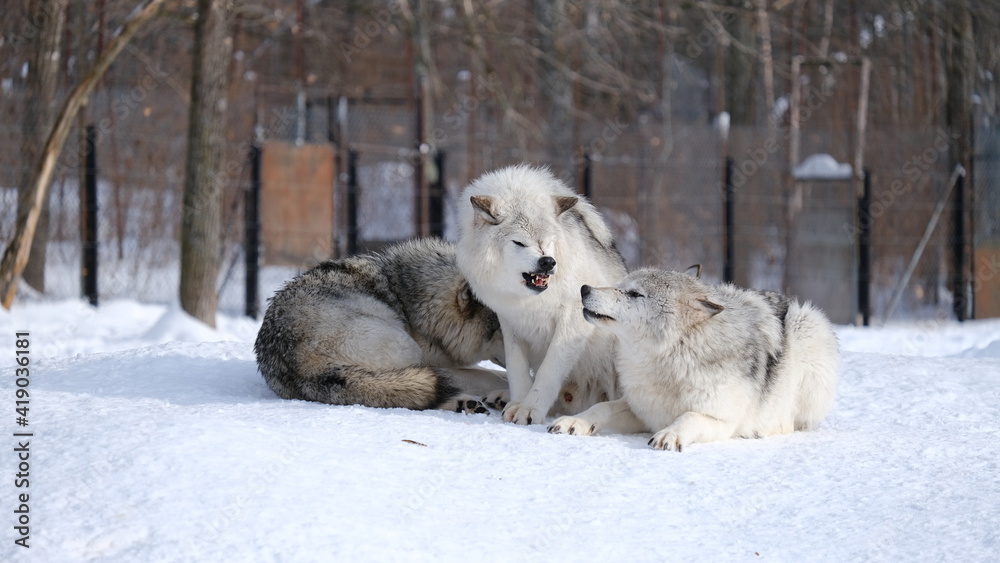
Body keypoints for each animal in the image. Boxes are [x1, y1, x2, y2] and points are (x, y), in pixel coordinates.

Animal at [455, 164, 628, 425]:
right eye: (519, 242)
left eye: (548, 241)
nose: (547, 262)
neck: (529, 301)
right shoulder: (510, 322)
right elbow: (517, 370)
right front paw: (517, 403)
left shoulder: (573, 320)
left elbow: (549, 371)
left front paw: (529, 409)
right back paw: (502, 397)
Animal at [548, 269, 839, 451]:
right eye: (620, 286)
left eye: (634, 294)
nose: (584, 288)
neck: (671, 361)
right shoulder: (643, 410)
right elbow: (602, 407)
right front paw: (573, 422)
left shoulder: (722, 421)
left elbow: (689, 416)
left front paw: (671, 435)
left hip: (807, 326)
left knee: (791, 423)